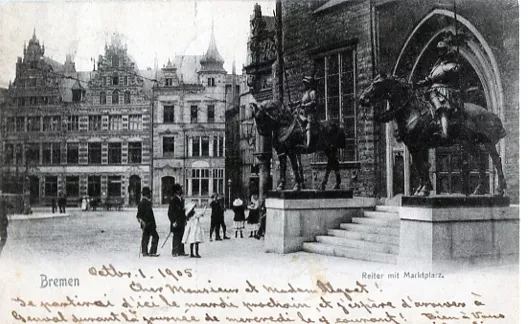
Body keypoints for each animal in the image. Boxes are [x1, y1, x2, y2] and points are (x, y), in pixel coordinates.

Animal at [358, 73, 508, 196]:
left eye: (376, 84)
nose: (362, 98)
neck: (412, 112)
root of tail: (492, 115)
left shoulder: (419, 145)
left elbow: (423, 166)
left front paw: (424, 190)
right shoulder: (413, 147)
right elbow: (419, 166)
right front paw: (421, 189)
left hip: (487, 143)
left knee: (496, 161)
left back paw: (499, 190)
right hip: (470, 143)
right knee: (481, 161)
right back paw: (479, 190)